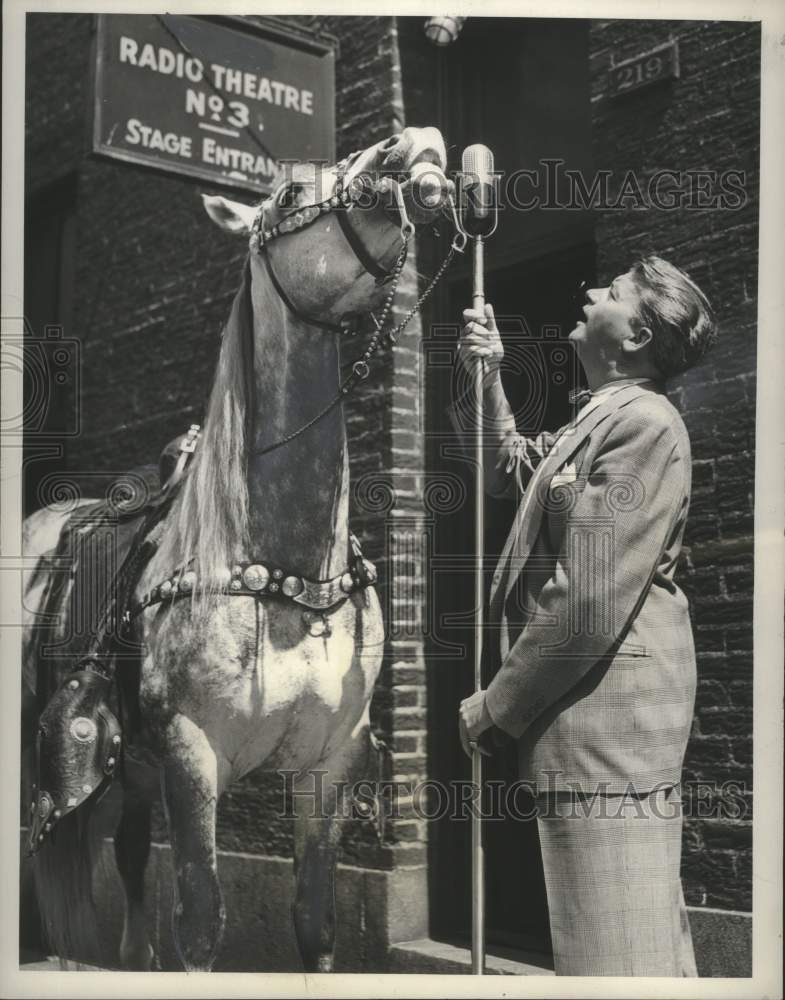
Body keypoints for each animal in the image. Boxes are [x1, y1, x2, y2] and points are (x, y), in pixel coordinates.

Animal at [21, 125, 454, 968]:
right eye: (287, 195)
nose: (414, 145)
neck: (288, 573)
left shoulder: (329, 765)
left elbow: (314, 923)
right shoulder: (193, 758)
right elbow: (199, 923)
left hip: (134, 775)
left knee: (127, 865)